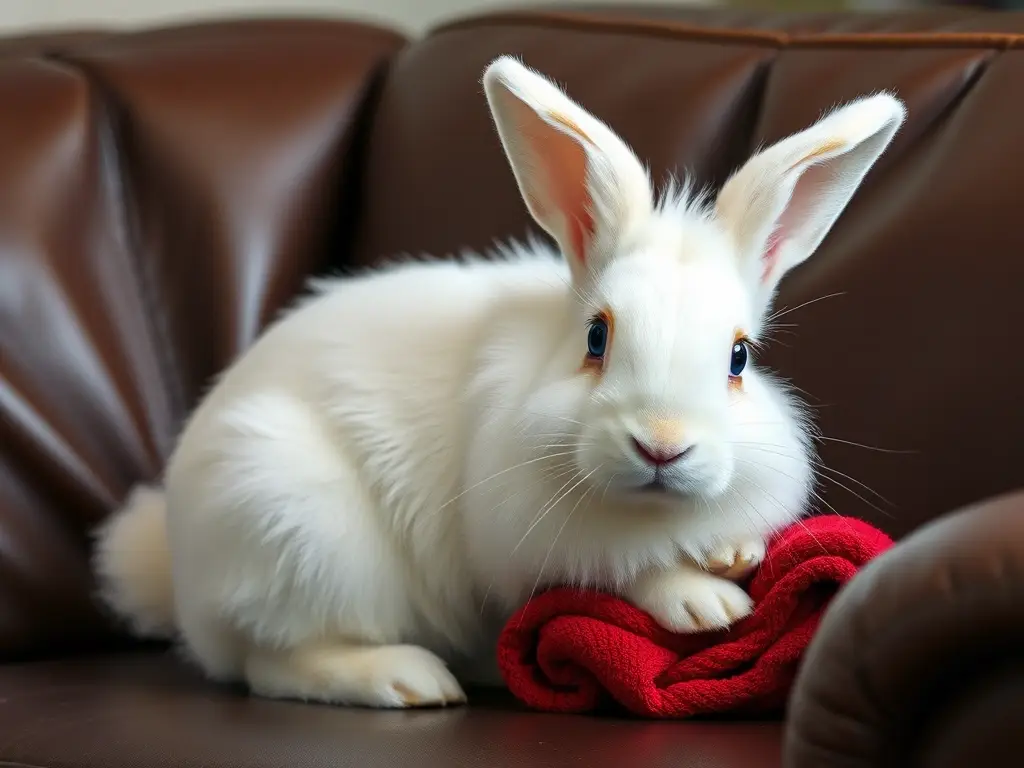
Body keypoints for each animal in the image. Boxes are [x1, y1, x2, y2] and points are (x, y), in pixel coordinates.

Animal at [92, 55, 906, 709]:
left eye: (739, 357)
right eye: (597, 338)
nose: (662, 444)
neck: (648, 510)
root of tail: (179, 572)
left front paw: (730, 556)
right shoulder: (528, 544)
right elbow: (616, 574)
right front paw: (704, 603)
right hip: (294, 528)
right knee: (271, 660)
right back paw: (407, 680)